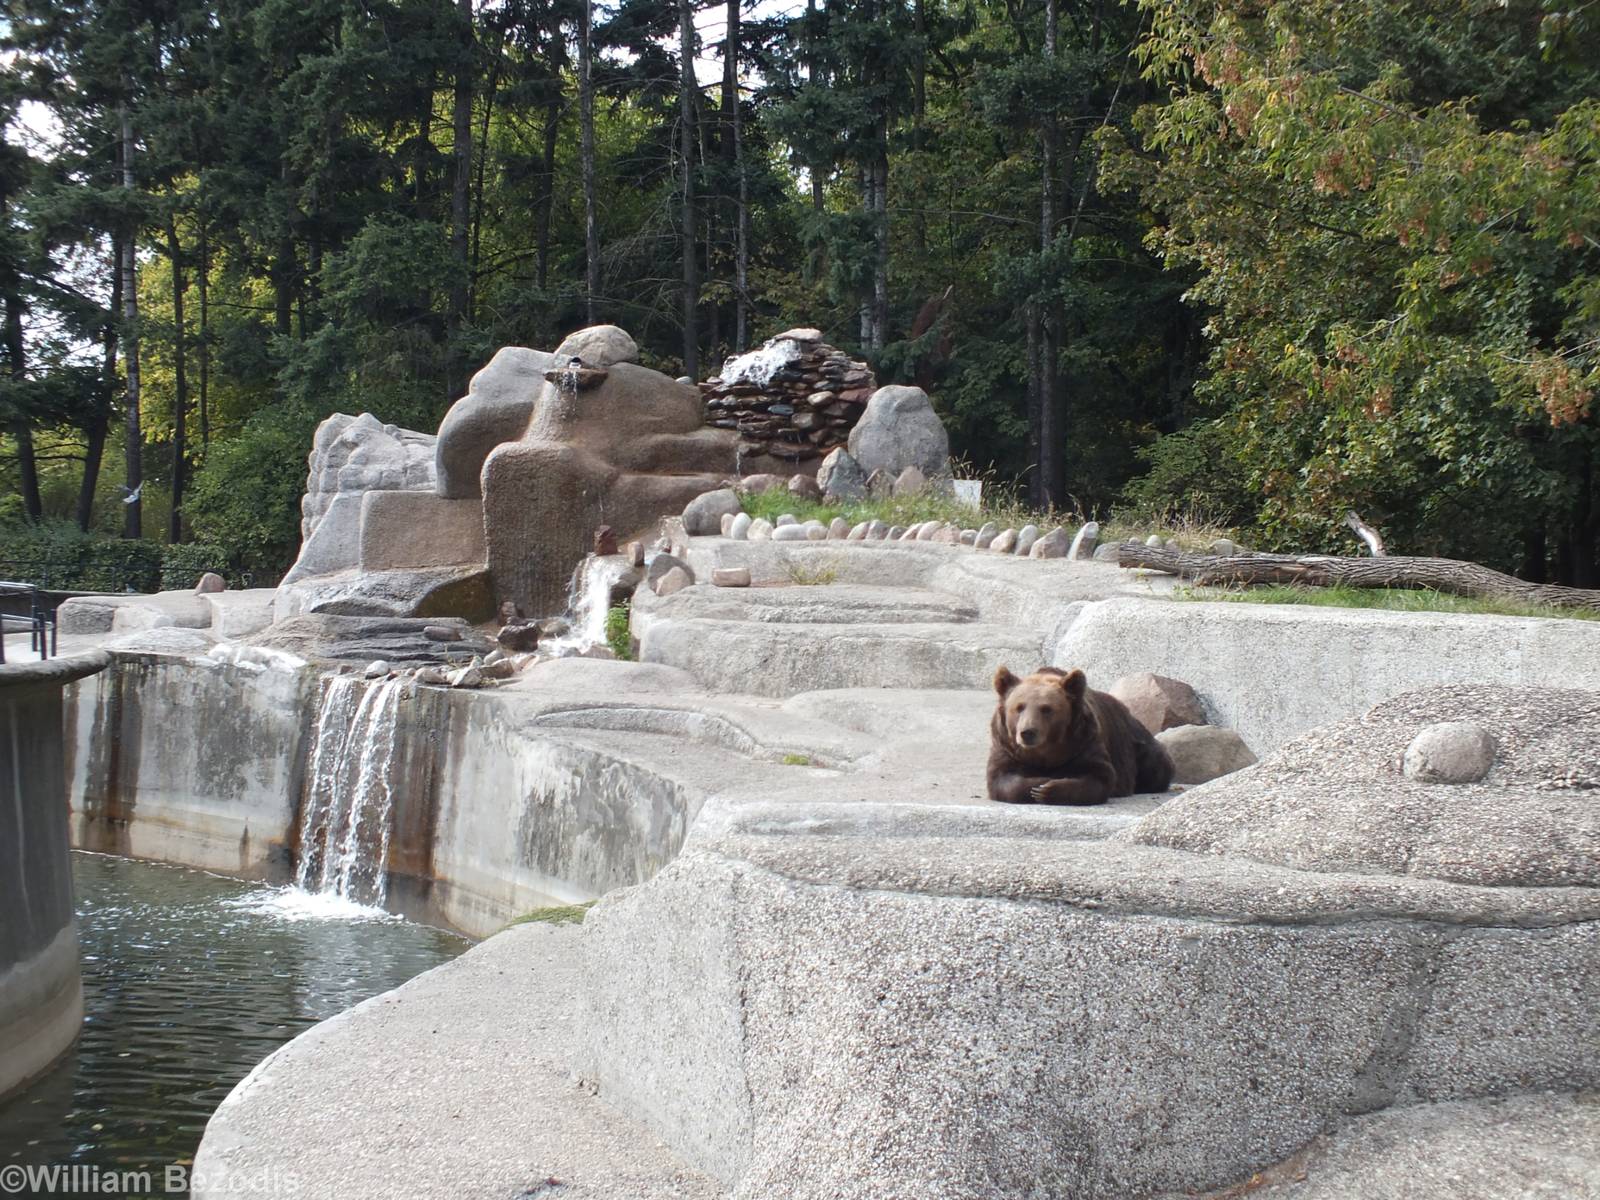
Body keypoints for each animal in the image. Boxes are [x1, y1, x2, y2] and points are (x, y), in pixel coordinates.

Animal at [987, 665, 1175, 805]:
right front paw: (1038, 785)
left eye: (1046, 709)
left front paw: (1048, 789)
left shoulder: (1083, 743)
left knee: (1156, 766)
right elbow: (1002, 779)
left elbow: (1099, 777)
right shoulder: (1006, 746)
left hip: (1137, 745)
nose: (1027, 732)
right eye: (1019, 707)